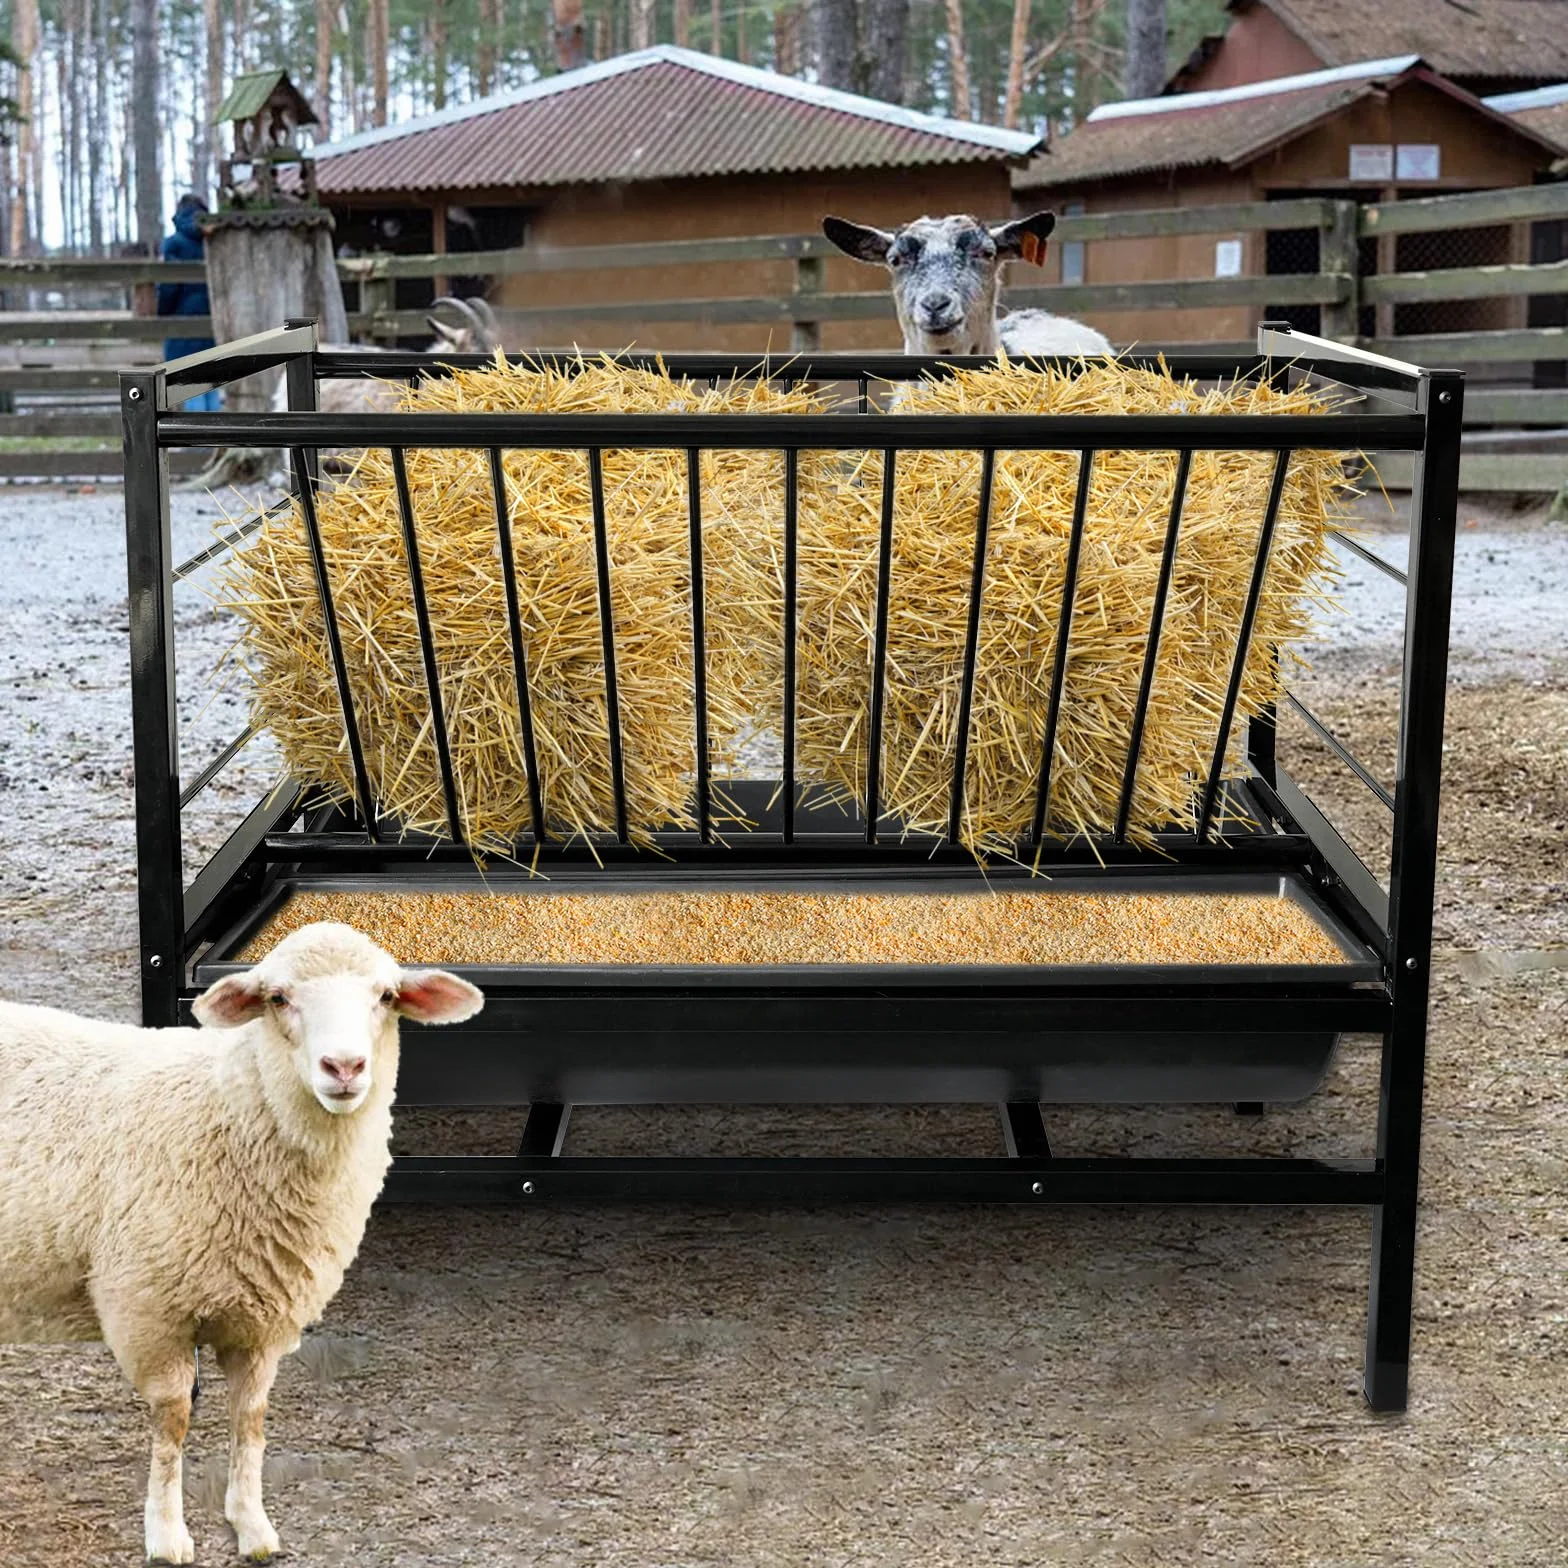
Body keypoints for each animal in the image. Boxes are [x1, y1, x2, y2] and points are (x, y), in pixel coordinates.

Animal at [0, 921, 483, 1563]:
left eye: (386, 996)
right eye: (278, 998)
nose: (344, 1067)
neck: (230, 1107)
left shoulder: (265, 1320)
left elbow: (250, 1420)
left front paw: (251, 1524)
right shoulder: (148, 1310)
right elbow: (173, 1422)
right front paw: (167, 1534)